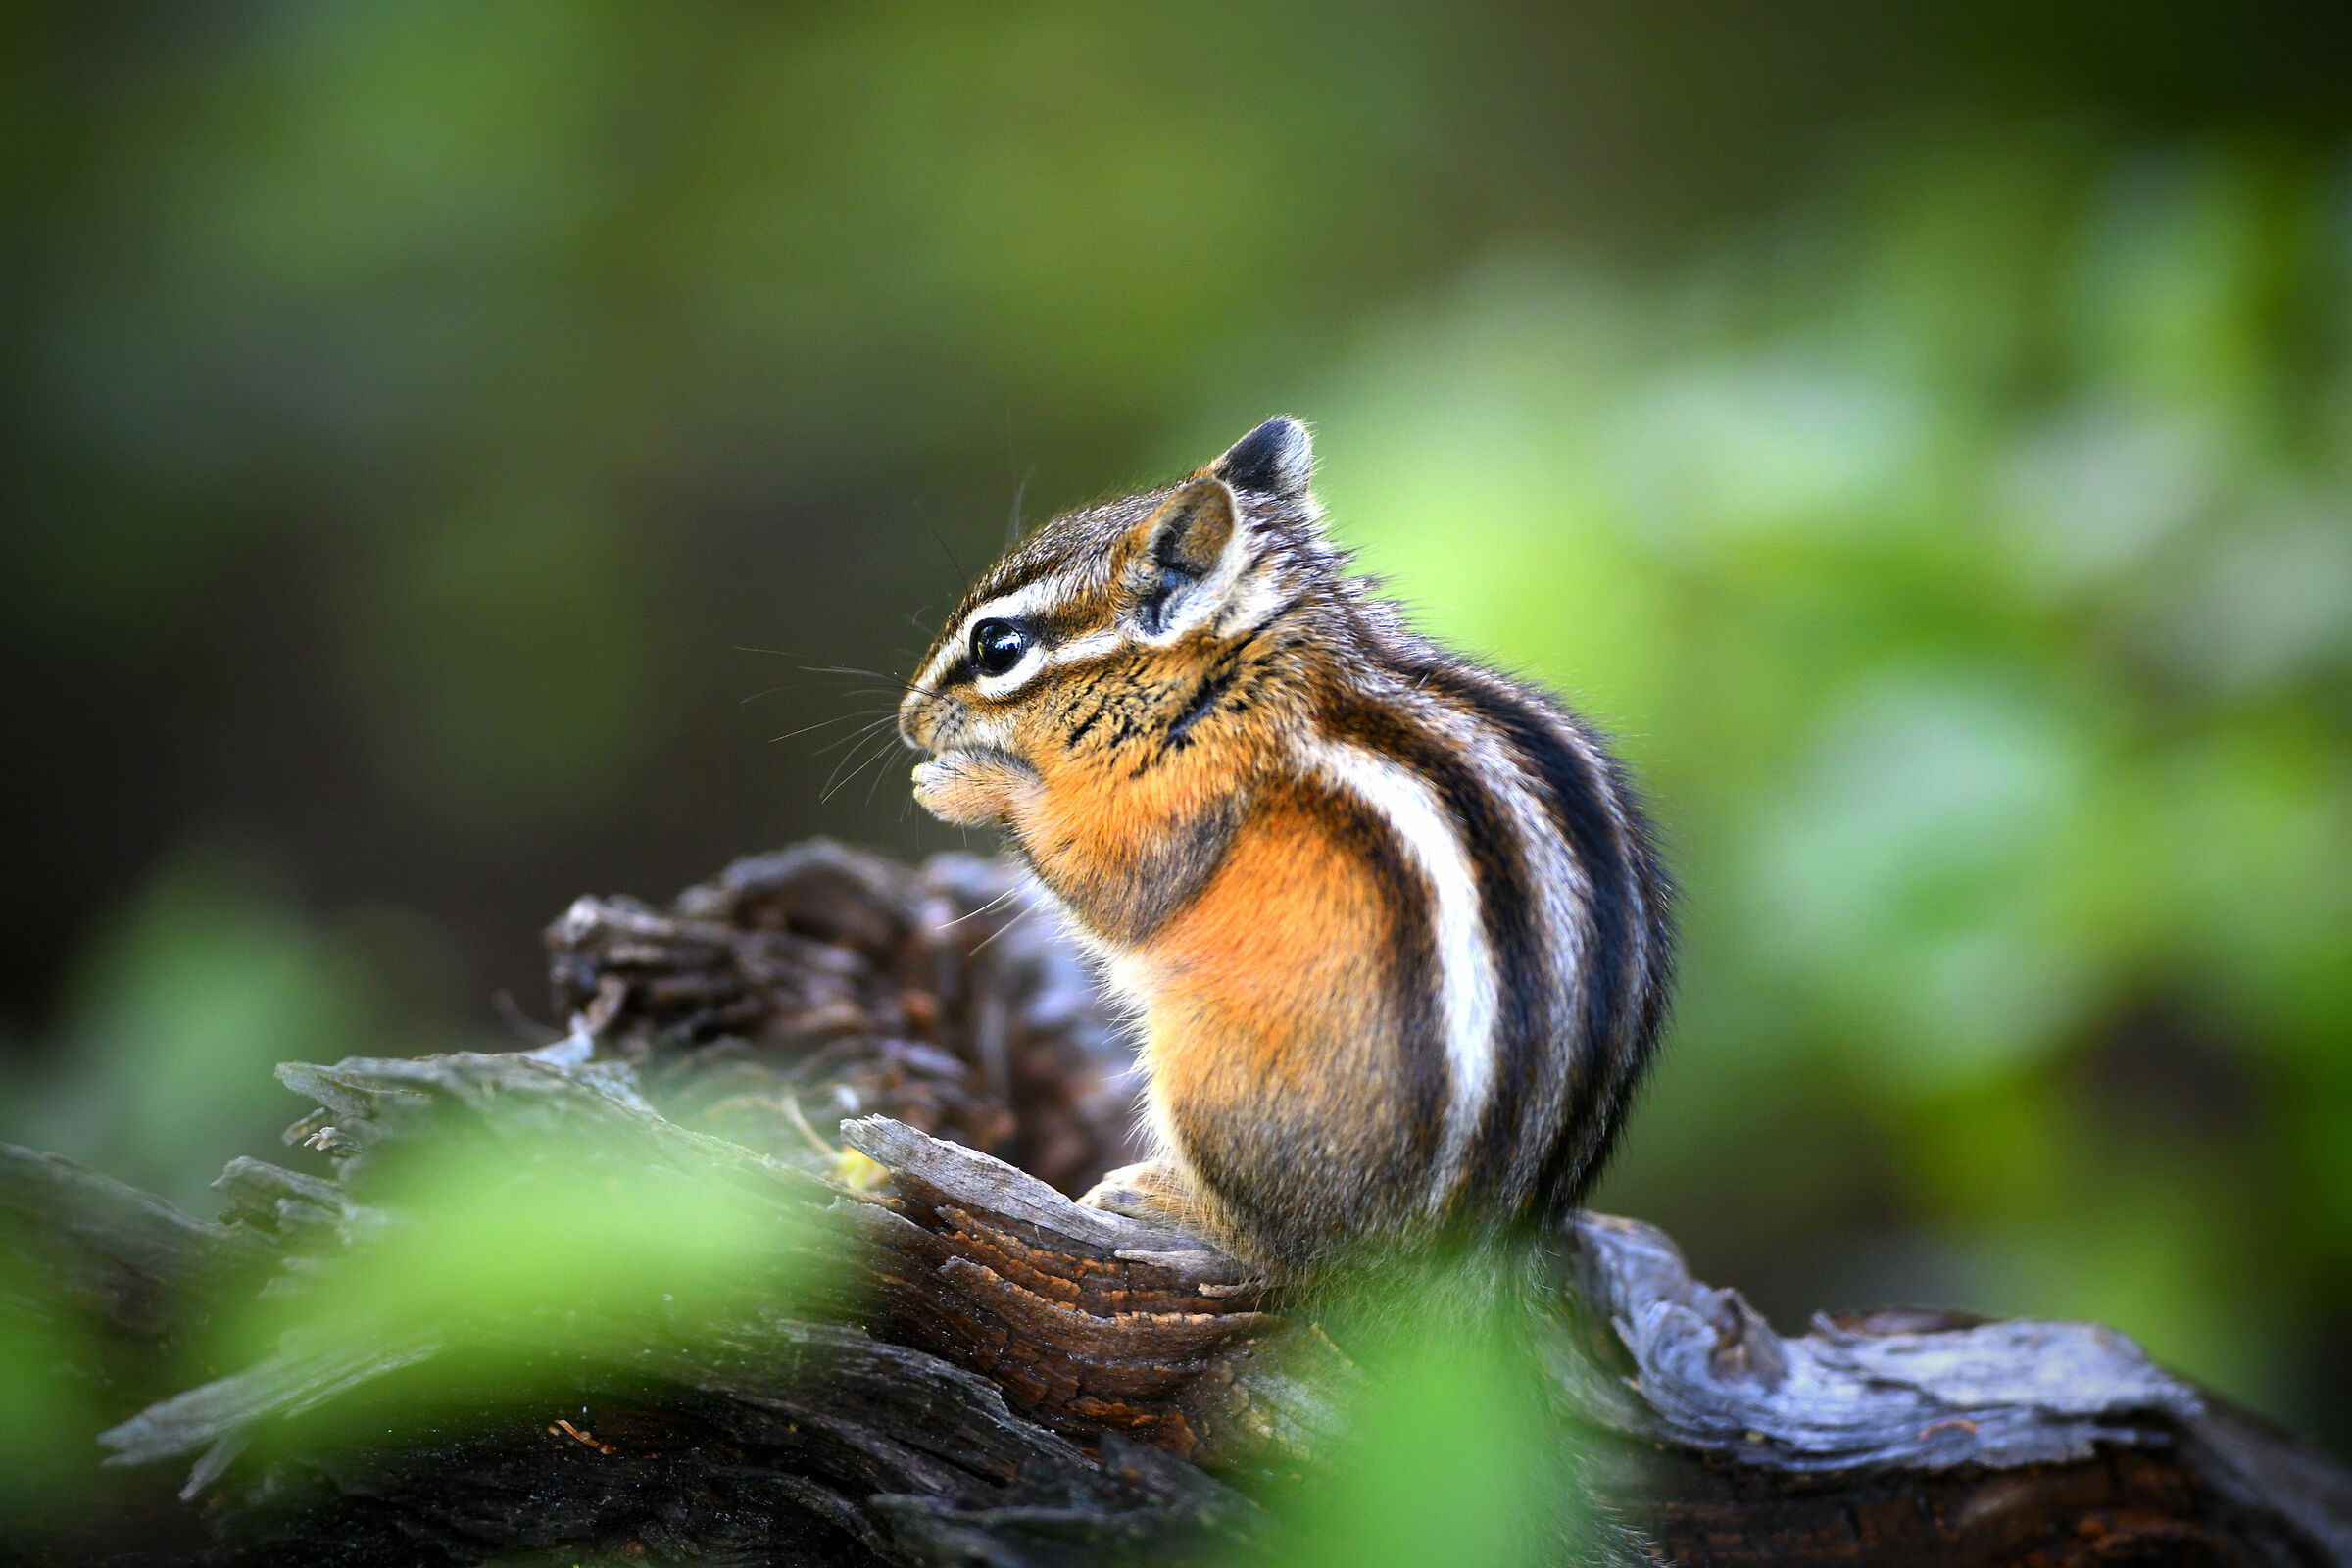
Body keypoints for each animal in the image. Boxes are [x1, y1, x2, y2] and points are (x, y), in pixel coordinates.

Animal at [898, 418, 1674, 1280]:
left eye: (998, 648)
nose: (907, 720)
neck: (1243, 680)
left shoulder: (1183, 803)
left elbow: (1116, 888)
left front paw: (962, 784)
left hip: (1211, 1078)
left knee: (1281, 1254)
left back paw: (1163, 1200)